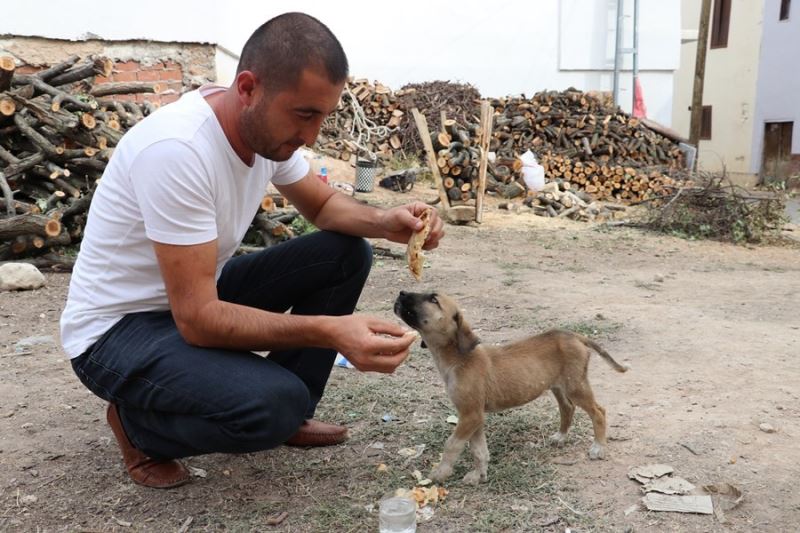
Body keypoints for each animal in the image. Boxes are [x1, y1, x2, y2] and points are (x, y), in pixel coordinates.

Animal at [396, 288, 632, 484]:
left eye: (433, 299)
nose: (401, 293)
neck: (457, 358)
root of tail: (575, 335)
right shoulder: (473, 416)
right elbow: (479, 450)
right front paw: (479, 475)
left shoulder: (470, 415)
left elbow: (452, 444)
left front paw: (441, 472)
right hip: (558, 386)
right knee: (567, 408)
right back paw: (561, 436)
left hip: (576, 386)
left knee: (598, 411)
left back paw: (598, 447)